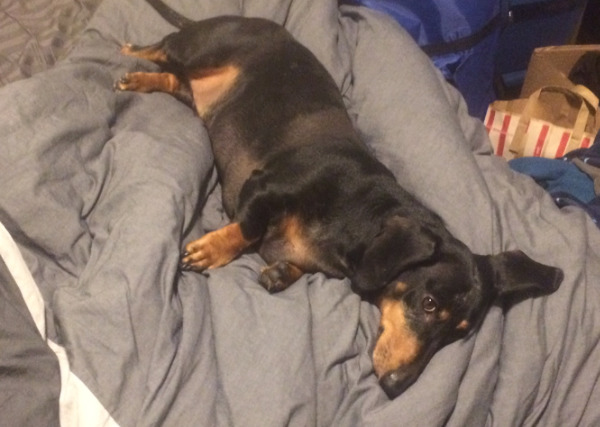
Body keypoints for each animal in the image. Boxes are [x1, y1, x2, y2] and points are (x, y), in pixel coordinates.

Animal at [116, 0, 564, 398]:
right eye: (429, 303)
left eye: (459, 334)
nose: (395, 386)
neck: (357, 218)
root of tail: (256, 22)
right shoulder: (262, 187)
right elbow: (247, 229)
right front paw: (211, 250)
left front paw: (282, 272)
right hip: (196, 49)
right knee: (157, 49)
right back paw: (128, 58)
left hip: (194, 95)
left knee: (171, 80)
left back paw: (141, 80)